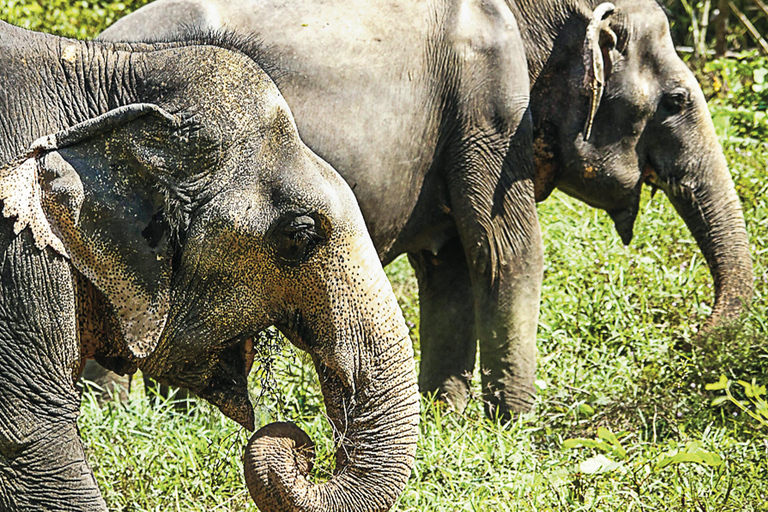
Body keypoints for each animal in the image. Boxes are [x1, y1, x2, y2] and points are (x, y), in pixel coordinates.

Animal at [96, 0, 752, 420]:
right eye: (676, 101)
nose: (687, 340)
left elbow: (453, 267)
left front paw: (448, 418)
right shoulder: (491, 106)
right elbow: (510, 253)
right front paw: (518, 425)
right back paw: (116, 420)